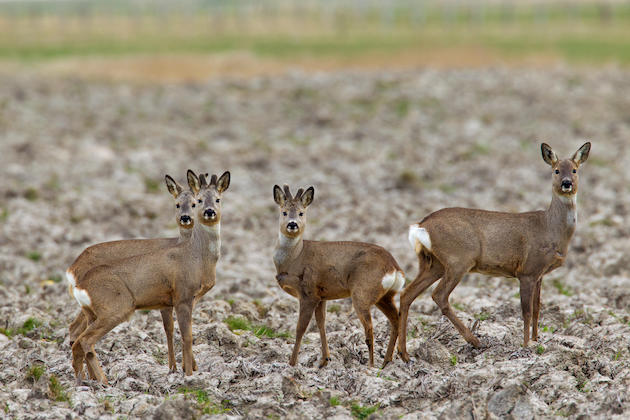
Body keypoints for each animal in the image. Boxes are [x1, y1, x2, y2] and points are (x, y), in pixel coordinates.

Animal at [68, 171, 231, 384]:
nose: (209, 212)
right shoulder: (183, 296)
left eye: (218, 199)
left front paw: (180, 369)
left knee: (77, 339)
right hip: (116, 307)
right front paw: (188, 375)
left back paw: (85, 380)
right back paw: (103, 382)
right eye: (200, 200)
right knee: (85, 340)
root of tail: (76, 275)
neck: (196, 256)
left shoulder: (173, 300)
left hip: (92, 312)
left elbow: (172, 330)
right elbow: (186, 336)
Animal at [272, 185, 404, 370]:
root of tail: (394, 266)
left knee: (370, 327)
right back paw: (387, 361)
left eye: (301, 213)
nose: (292, 224)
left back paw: (371, 365)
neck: (294, 258)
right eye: (284, 212)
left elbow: (300, 328)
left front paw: (292, 363)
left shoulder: (308, 293)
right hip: (384, 296)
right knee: (395, 319)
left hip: (362, 292)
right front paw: (324, 360)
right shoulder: (321, 296)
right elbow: (321, 324)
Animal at [400, 143, 592, 360]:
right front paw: (526, 345)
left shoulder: (539, 274)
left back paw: (403, 354)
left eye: (575, 170)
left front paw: (537, 341)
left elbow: (537, 309)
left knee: (406, 294)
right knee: (439, 295)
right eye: (556, 170)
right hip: (458, 259)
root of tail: (421, 225)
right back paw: (476, 341)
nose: (567, 183)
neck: (551, 228)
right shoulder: (527, 271)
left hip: (433, 264)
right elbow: (526, 311)